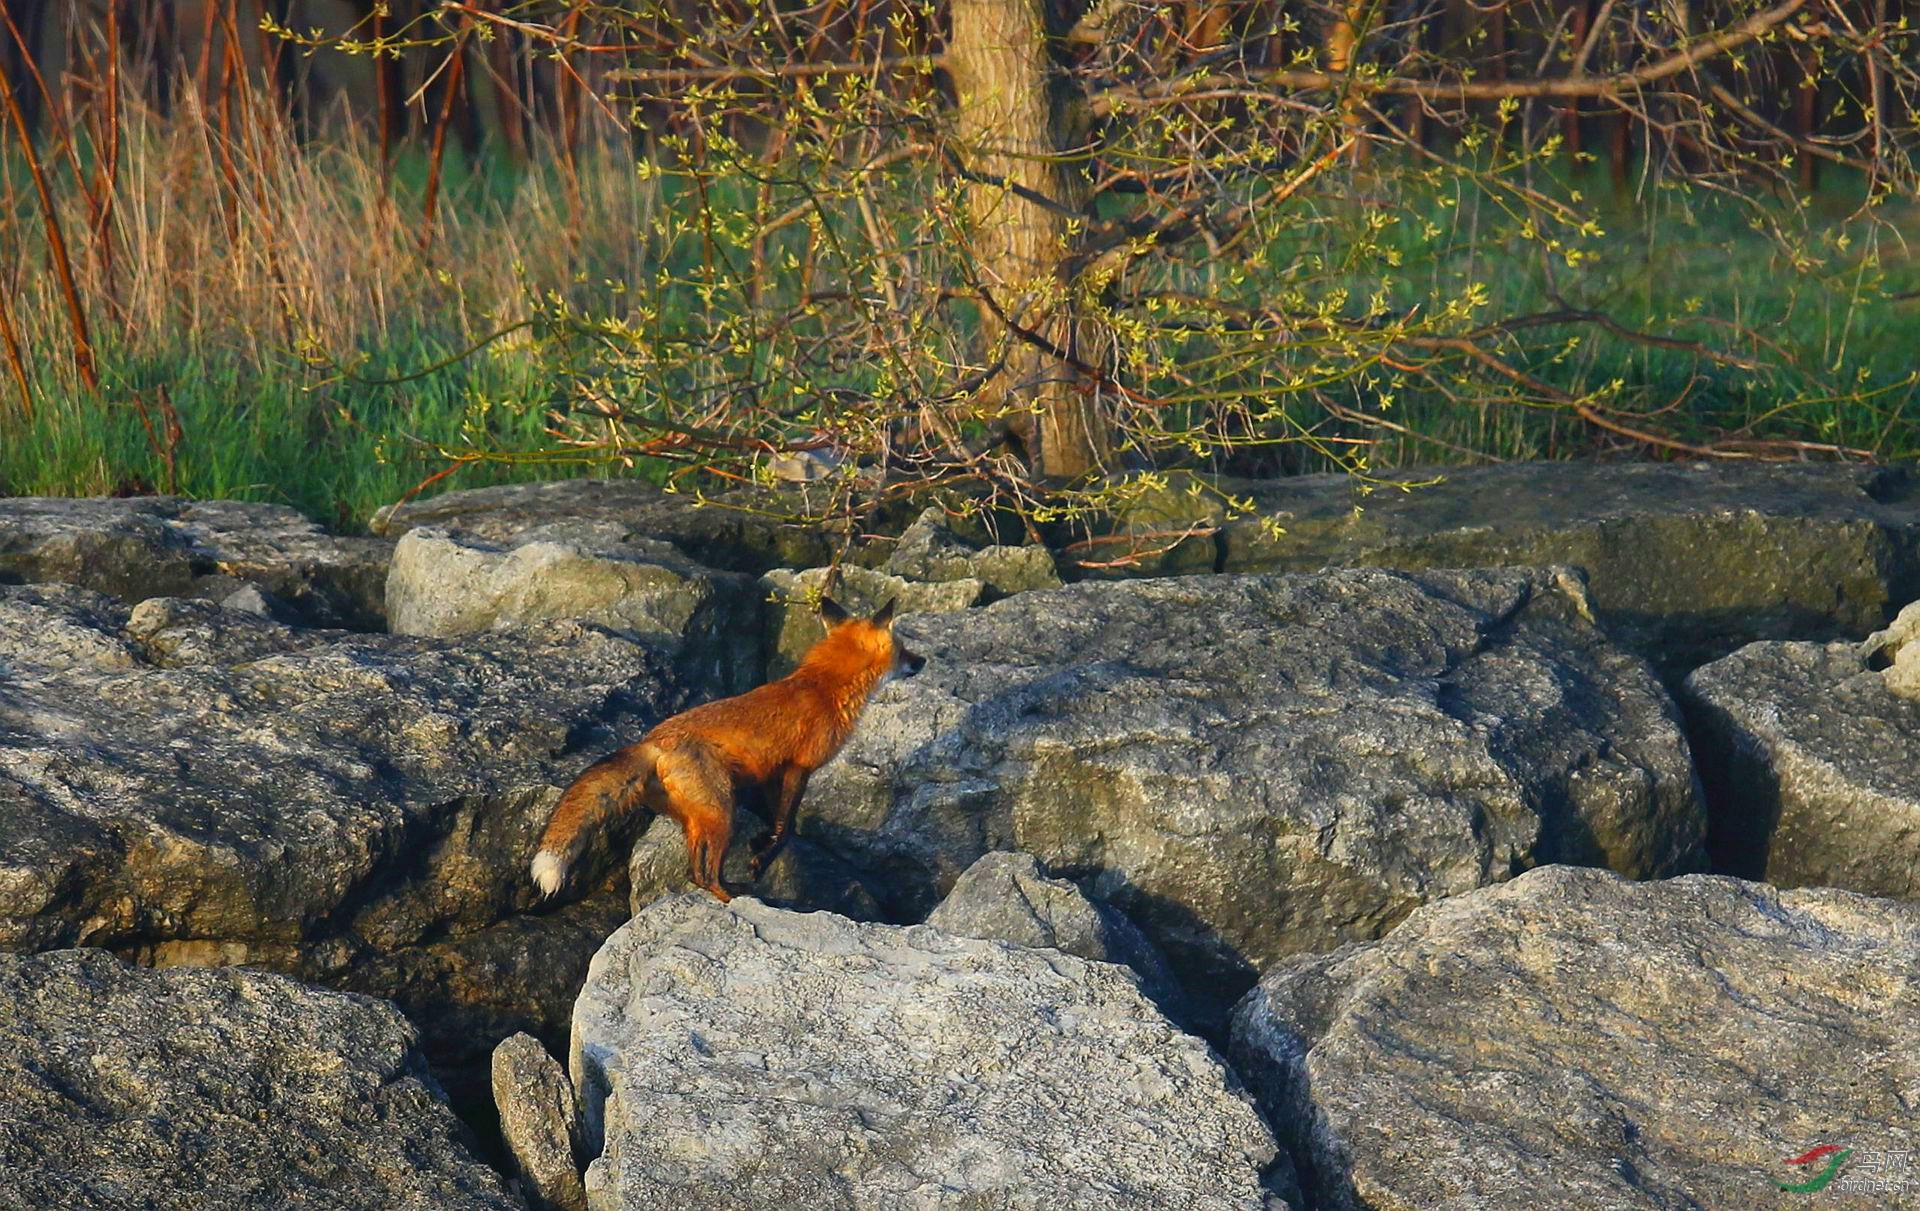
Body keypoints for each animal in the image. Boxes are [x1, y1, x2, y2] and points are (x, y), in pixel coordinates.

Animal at [529, 598, 925, 902]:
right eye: (902, 648)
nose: (922, 661)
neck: (825, 687)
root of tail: (651, 741)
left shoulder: (774, 771)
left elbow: (776, 821)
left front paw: (761, 846)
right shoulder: (799, 766)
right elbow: (786, 828)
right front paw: (762, 859)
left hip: (698, 819)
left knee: (694, 872)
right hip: (723, 814)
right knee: (705, 875)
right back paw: (732, 896)